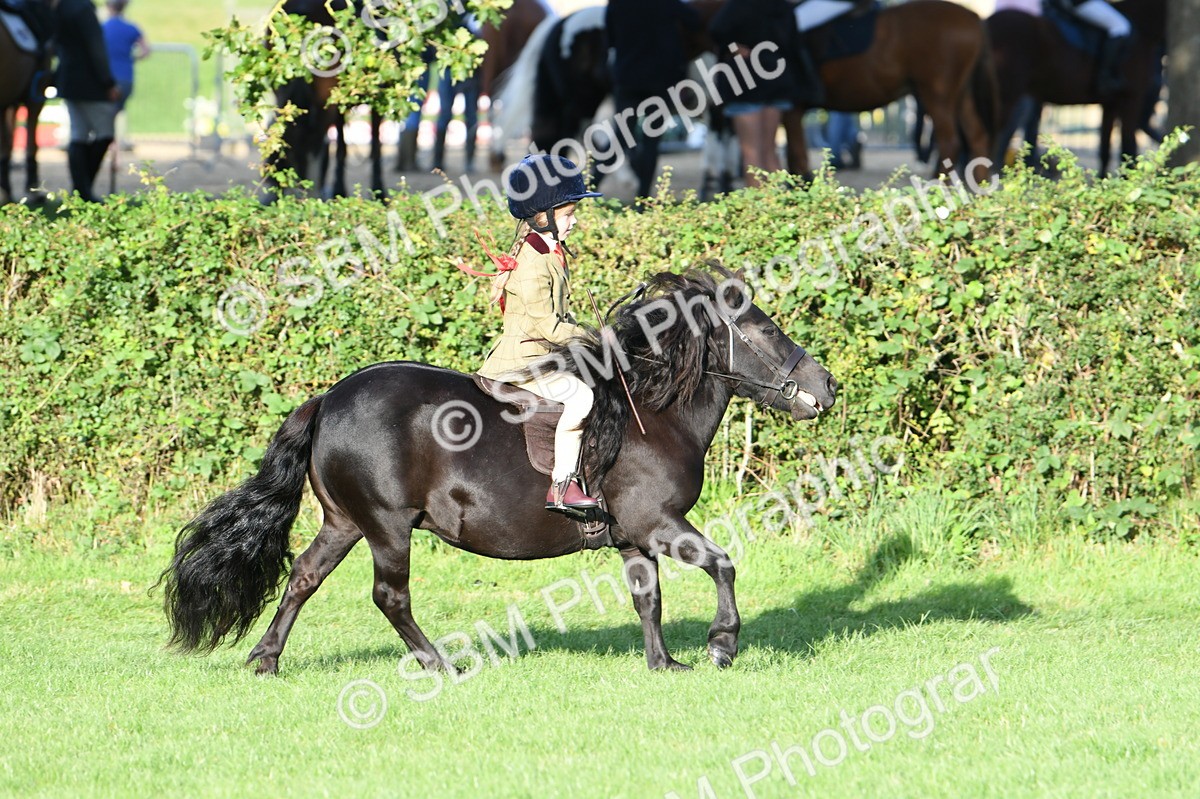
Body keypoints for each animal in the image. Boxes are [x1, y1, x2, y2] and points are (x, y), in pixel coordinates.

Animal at [161, 266, 839, 674]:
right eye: (764, 331)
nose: (827, 388)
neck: (651, 409)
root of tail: (329, 398)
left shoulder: (634, 535)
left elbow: (649, 598)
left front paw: (664, 665)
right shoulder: (659, 521)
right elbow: (722, 564)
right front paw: (722, 644)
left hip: (345, 521)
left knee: (303, 577)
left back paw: (266, 659)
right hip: (386, 524)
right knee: (389, 595)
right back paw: (438, 664)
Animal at [783, 0, 997, 184]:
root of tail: (972, 17)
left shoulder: (792, 106)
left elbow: (796, 157)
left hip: (937, 94)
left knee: (950, 142)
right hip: (962, 95)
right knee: (977, 137)